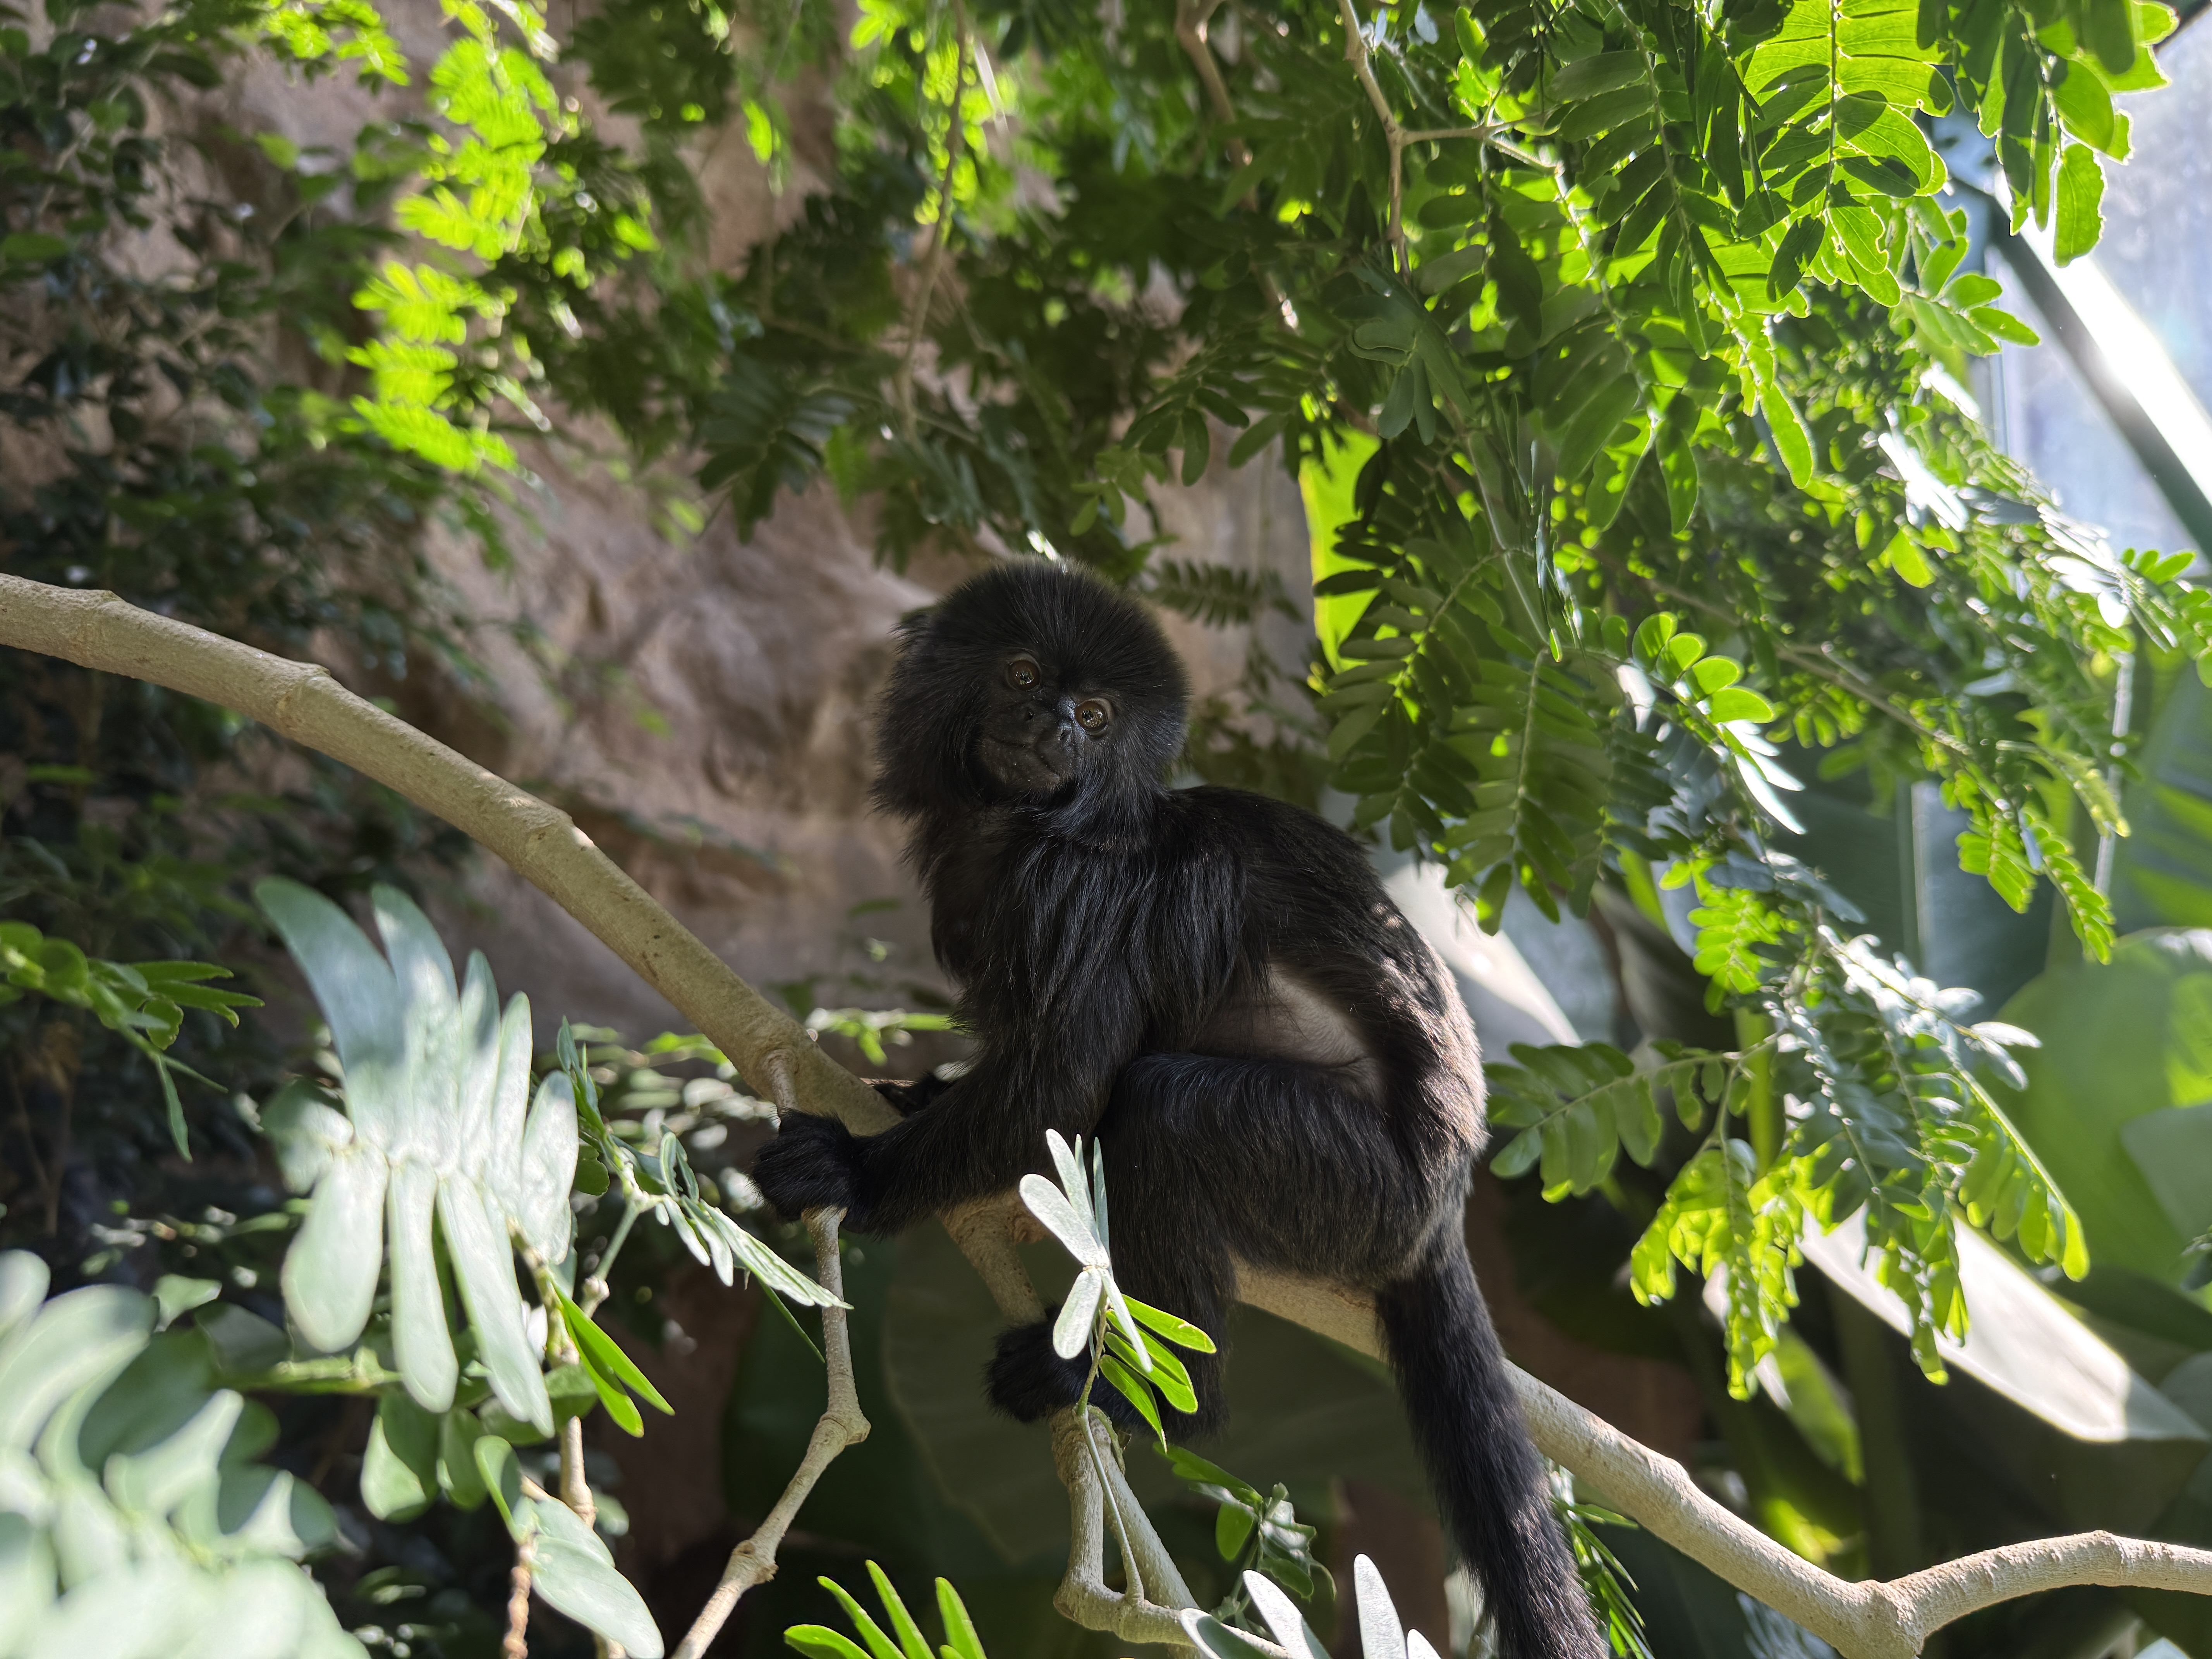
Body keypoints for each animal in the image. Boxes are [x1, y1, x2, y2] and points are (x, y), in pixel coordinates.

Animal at [751, 561, 1606, 1659]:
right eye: (1023, 675)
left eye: (1098, 716)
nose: (1055, 726)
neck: (1023, 827)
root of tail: (1443, 1204)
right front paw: (907, 1096)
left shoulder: (1081, 888)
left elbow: (1063, 1084)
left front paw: (856, 1175)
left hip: (1356, 1193)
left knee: (1168, 1109)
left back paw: (1153, 1397)